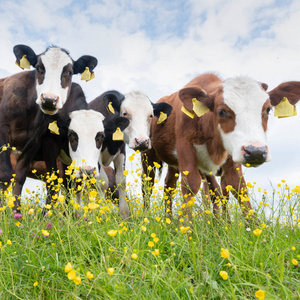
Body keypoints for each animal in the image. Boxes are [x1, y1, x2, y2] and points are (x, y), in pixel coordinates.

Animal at [88, 89, 172, 218]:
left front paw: (124, 215)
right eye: (125, 113)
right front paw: (101, 214)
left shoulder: (121, 152)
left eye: (151, 115)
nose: (142, 141)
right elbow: (102, 183)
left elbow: (121, 181)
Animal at [142, 72, 300, 218]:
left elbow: (236, 188)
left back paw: (169, 220)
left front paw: (236, 224)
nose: (256, 151)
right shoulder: (186, 149)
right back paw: (147, 216)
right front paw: (187, 228)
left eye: (268, 109)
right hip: (148, 154)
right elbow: (191, 185)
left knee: (169, 186)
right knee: (147, 184)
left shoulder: (230, 157)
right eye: (222, 111)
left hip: (174, 164)